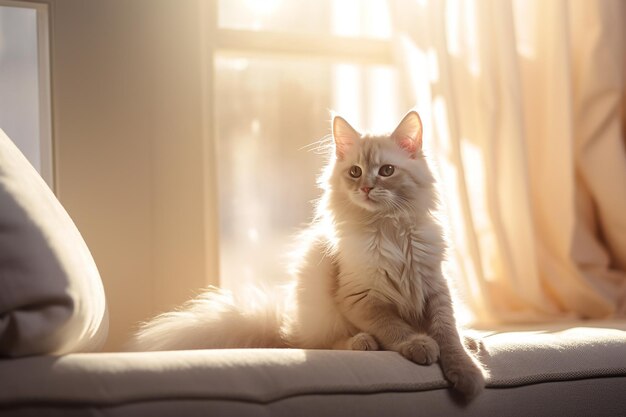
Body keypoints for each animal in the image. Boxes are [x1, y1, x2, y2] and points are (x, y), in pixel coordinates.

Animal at [129, 112, 486, 398]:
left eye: (386, 171)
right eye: (355, 172)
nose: (366, 188)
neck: (389, 229)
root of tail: (286, 325)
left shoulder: (436, 288)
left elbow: (448, 334)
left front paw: (468, 374)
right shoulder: (360, 297)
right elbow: (395, 327)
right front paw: (421, 345)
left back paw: (473, 340)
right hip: (319, 296)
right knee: (320, 343)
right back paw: (362, 342)